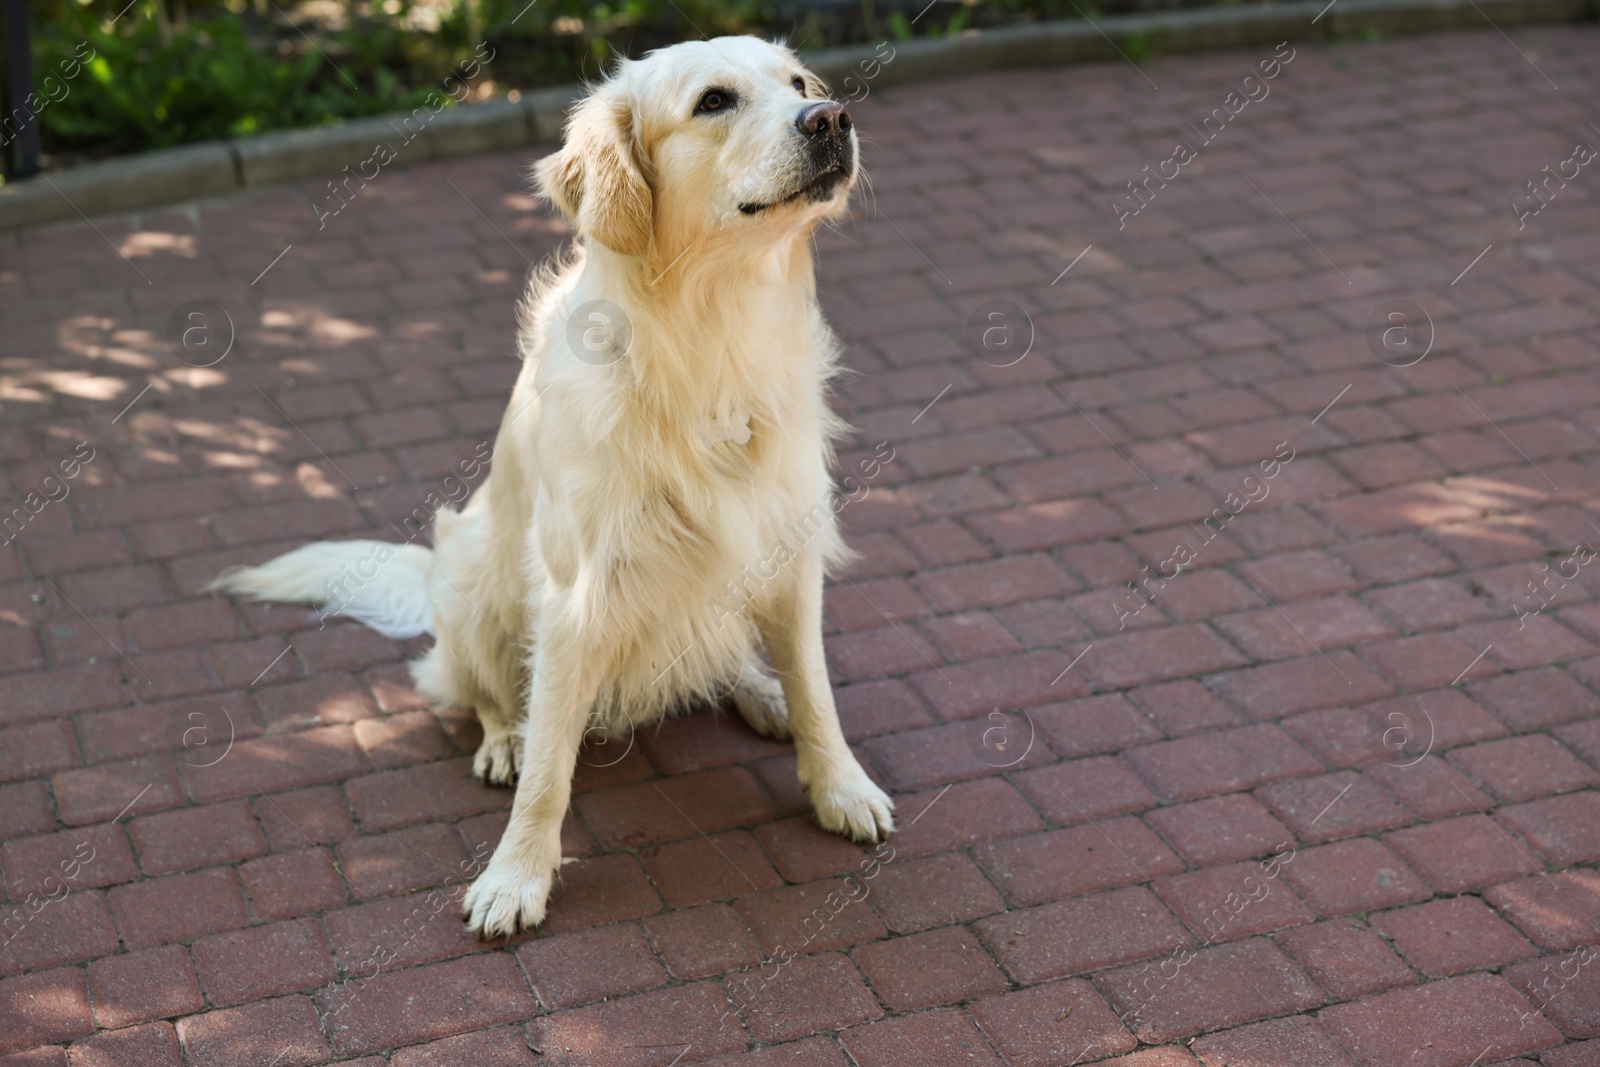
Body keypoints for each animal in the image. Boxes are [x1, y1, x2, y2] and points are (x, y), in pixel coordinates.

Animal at [208, 35, 896, 934]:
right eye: (714, 101)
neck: (712, 336)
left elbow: (816, 689)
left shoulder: (788, 547)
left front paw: (840, 785)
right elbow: (547, 769)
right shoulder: (577, 595)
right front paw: (516, 875)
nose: (832, 118)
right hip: (469, 575)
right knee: (484, 693)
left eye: (799, 83)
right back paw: (501, 739)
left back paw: (759, 690)